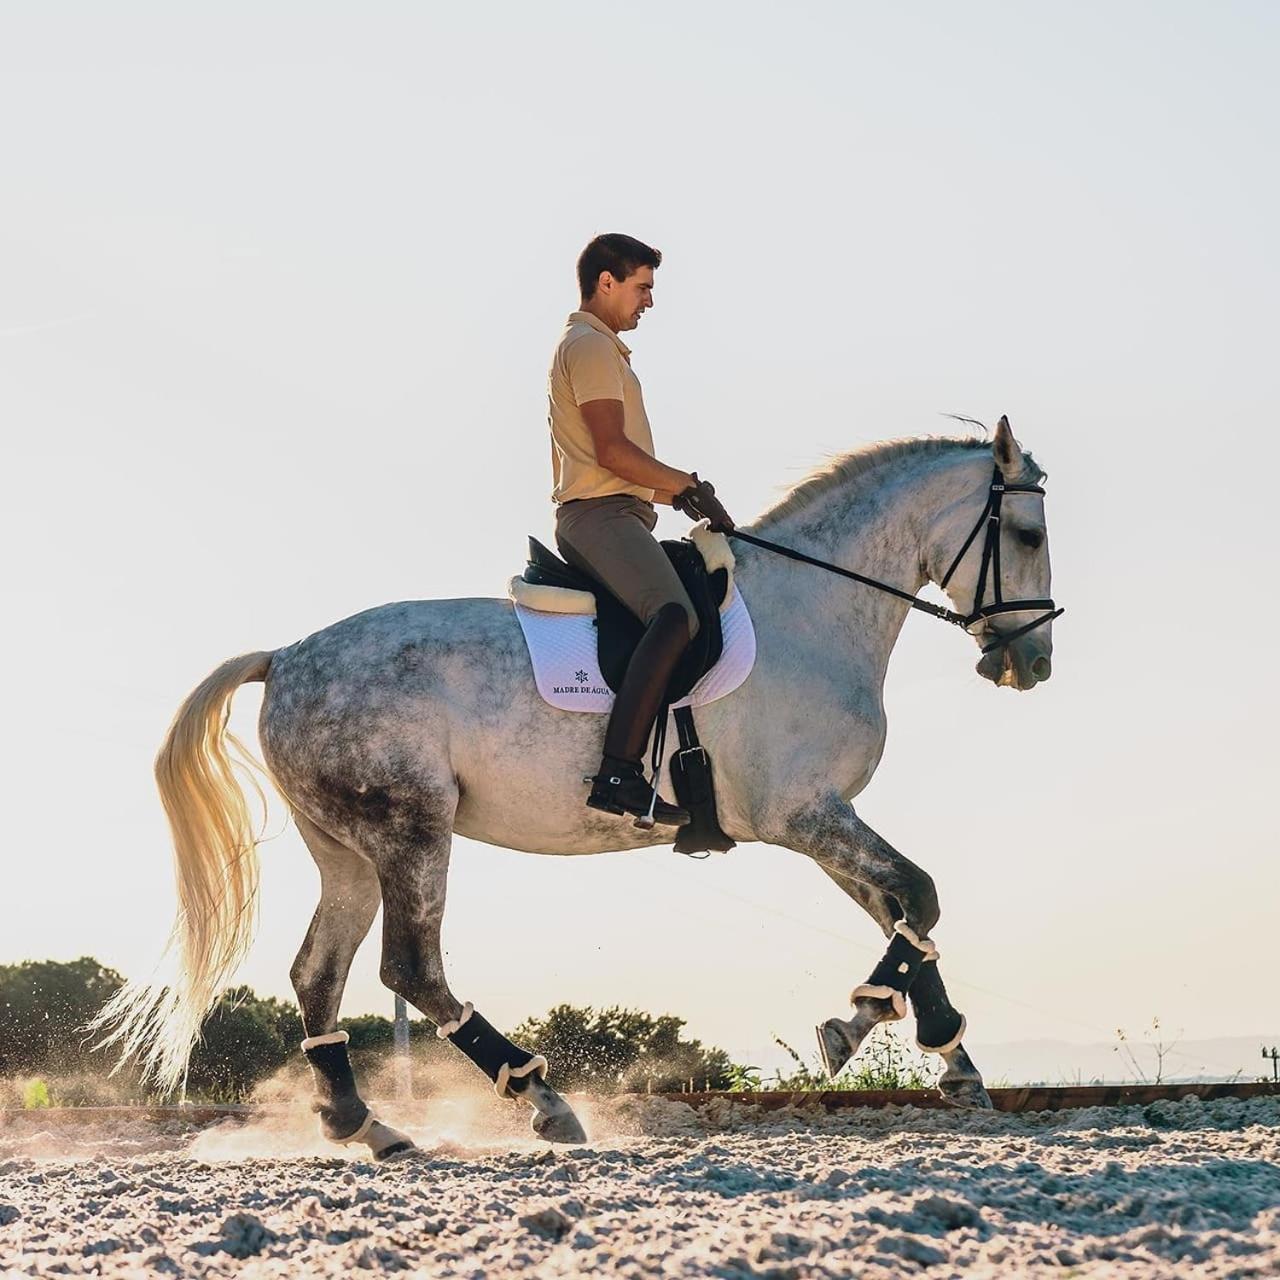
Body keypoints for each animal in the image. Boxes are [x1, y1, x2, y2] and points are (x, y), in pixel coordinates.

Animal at [95, 416, 1058, 1157]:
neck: (812, 609)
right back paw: (542, 1099)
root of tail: (286, 657)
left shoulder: (823, 817)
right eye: (1030, 536)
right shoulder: (803, 813)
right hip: (411, 829)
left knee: (316, 973)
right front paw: (856, 1029)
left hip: (346, 849)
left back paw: (364, 1126)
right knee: (411, 966)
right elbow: (917, 895)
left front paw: (948, 1056)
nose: (1031, 664)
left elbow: (904, 910)